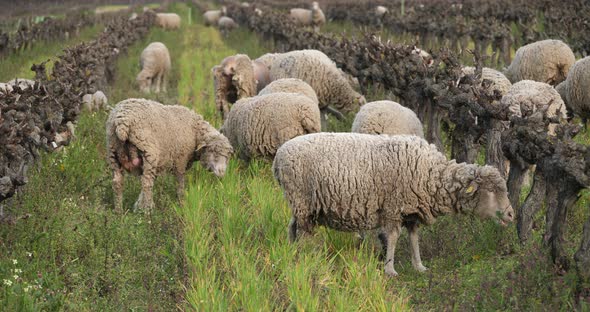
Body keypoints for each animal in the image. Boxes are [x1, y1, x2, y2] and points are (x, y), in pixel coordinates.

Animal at [276, 133, 516, 276]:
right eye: (491, 191)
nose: (511, 215)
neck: (431, 174)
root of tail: (278, 157)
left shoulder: (412, 211)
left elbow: (414, 238)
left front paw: (419, 266)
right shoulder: (393, 206)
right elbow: (392, 236)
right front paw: (390, 269)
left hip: (300, 204)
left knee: (291, 228)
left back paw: (292, 254)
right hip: (302, 200)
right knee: (303, 232)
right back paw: (305, 258)